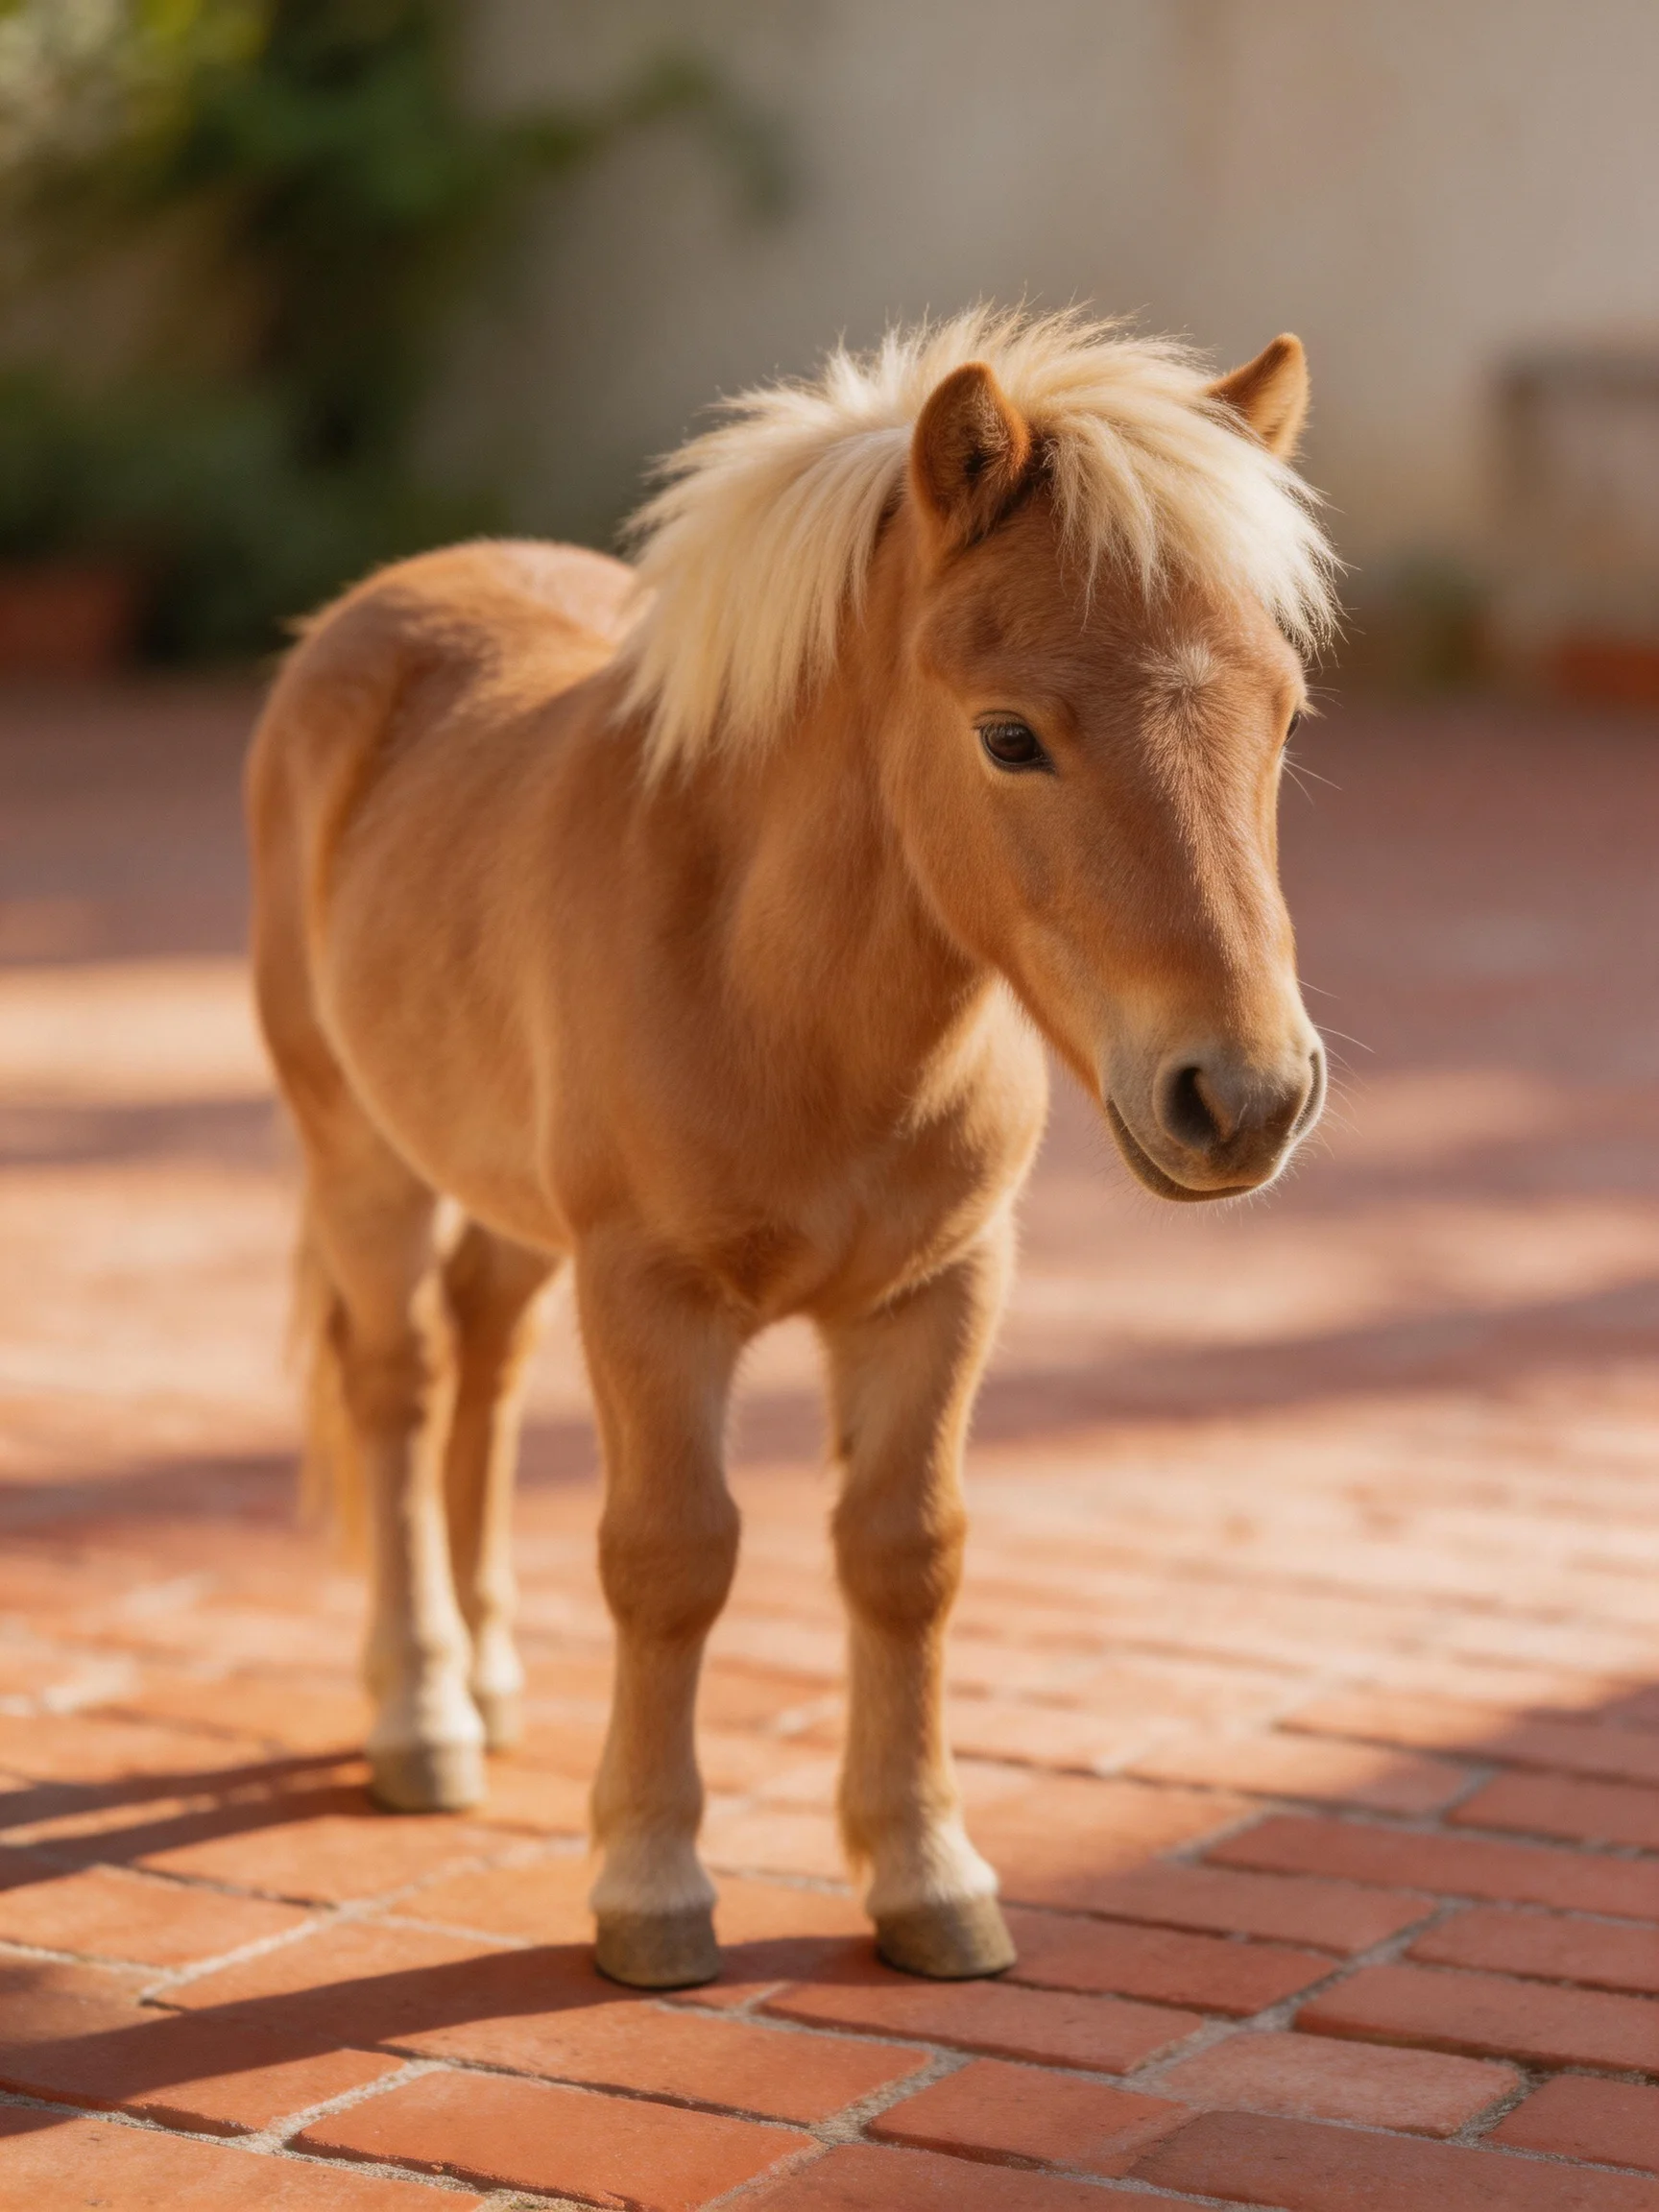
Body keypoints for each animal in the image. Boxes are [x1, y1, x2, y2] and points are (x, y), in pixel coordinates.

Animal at [246, 308, 1337, 1990]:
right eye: (1008, 735)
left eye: (1281, 715)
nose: (1246, 1098)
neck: (784, 995)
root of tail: (372, 615)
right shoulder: (651, 1294)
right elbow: (672, 1560)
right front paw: (649, 1891)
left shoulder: (938, 1289)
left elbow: (907, 1554)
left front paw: (929, 1880)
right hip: (362, 1154)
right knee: (398, 1385)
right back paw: (423, 1718)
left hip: (505, 1199)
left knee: (483, 1363)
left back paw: (489, 1682)